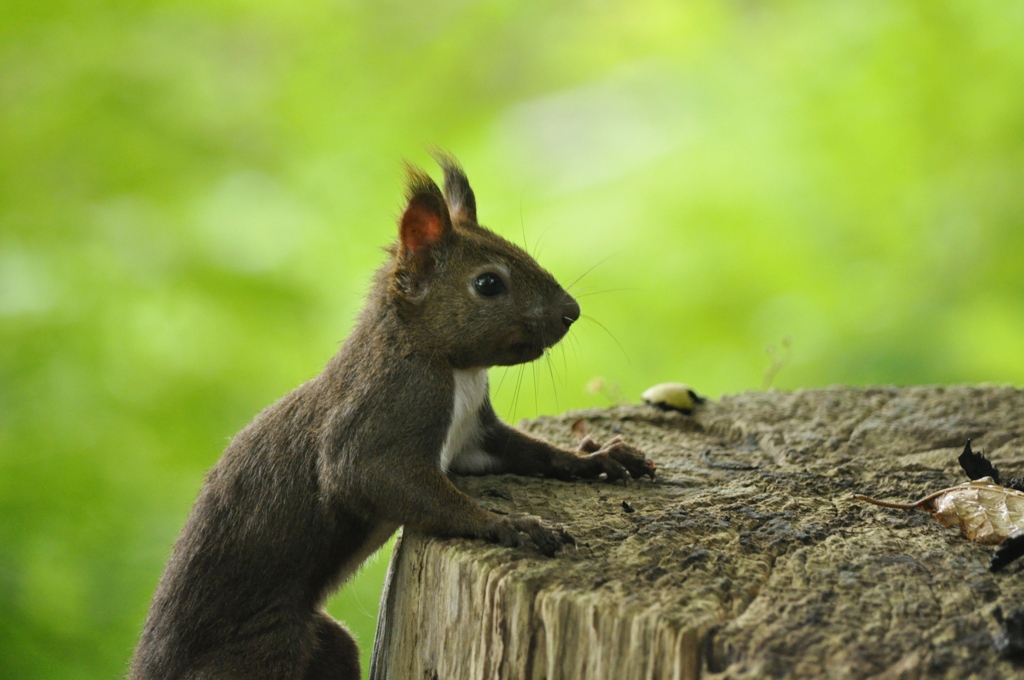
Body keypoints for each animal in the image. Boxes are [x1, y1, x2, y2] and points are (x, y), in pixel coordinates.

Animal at [130, 153, 655, 680]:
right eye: (488, 283)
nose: (572, 311)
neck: (454, 367)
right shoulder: (388, 412)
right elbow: (381, 480)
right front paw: (511, 525)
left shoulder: (474, 441)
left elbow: (537, 454)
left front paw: (600, 458)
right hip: (262, 657)